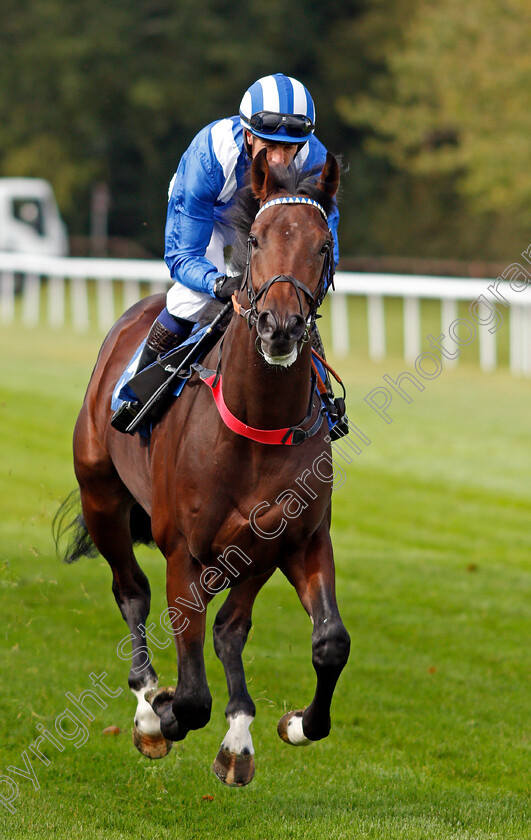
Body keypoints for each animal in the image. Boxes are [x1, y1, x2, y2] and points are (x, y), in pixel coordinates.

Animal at [56, 151, 352, 788]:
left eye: (323, 245)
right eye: (257, 239)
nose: (280, 326)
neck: (257, 423)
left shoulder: (295, 540)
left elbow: (329, 643)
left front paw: (294, 724)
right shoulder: (183, 551)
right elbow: (190, 695)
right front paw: (162, 712)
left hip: (246, 553)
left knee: (228, 629)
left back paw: (237, 735)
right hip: (102, 497)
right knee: (131, 592)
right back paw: (147, 704)